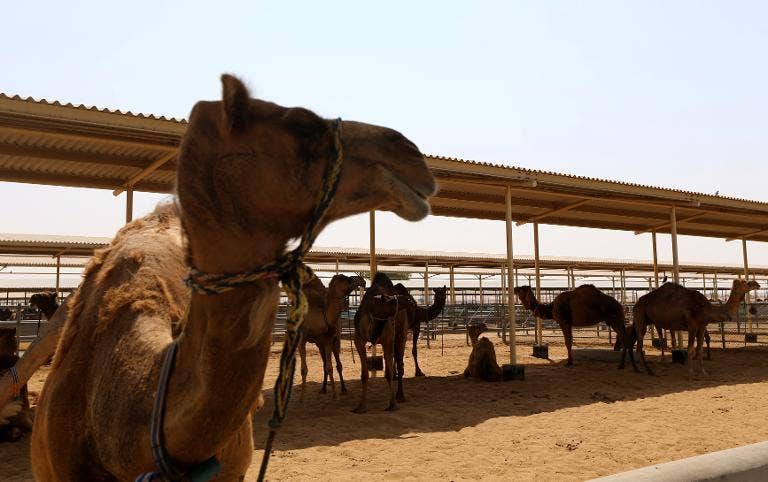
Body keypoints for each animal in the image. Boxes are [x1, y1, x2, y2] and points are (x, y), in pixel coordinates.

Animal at [356, 274, 414, 412]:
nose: (408, 300)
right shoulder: (358, 341)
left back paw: (400, 396)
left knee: (400, 364)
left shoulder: (387, 340)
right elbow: (364, 375)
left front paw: (392, 404)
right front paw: (361, 406)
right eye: (390, 301)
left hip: (401, 335)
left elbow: (388, 374)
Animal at [628, 276, 760, 374]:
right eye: (747, 283)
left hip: (647, 321)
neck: (706, 309)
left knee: (638, 343)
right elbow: (690, 349)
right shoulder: (691, 327)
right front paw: (691, 371)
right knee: (639, 344)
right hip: (640, 317)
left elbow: (700, 349)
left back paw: (638, 368)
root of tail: (636, 304)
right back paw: (647, 370)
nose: (757, 284)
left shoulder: (701, 327)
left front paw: (703, 371)